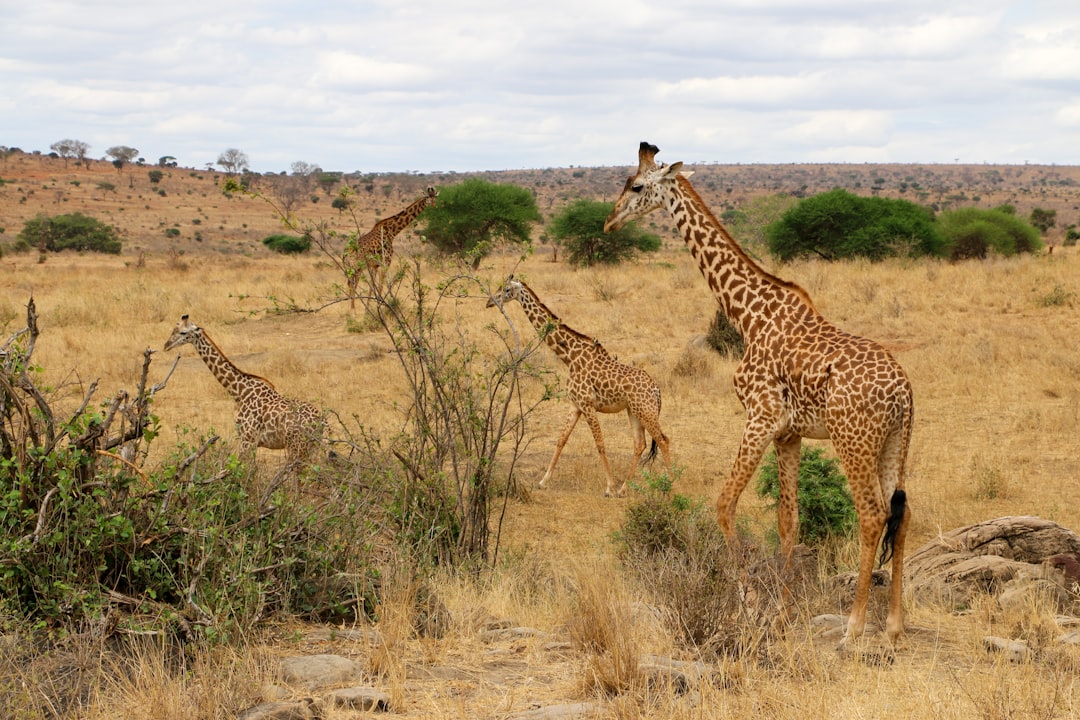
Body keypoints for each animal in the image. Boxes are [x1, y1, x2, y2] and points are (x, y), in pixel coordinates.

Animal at [164, 315, 324, 467]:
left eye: (183, 332)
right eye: (173, 329)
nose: (166, 345)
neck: (240, 392)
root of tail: (322, 421)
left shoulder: (247, 440)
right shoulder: (252, 442)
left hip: (297, 446)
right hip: (311, 446)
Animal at [487, 275, 672, 497]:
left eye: (506, 290)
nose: (490, 302)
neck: (569, 357)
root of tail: (657, 390)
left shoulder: (587, 405)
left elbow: (600, 444)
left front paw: (609, 487)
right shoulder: (575, 405)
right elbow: (561, 440)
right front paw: (543, 481)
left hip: (646, 411)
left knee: (663, 440)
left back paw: (671, 485)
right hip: (634, 411)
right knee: (640, 444)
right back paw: (624, 489)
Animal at [604, 142, 913, 645]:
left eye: (636, 186)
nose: (609, 223)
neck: (749, 315)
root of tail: (904, 393)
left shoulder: (760, 417)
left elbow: (724, 504)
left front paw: (748, 605)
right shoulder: (789, 433)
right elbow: (788, 521)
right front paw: (783, 615)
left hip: (854, 440)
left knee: (872, 515)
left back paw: (853, 627)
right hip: (893, 444)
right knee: (900, 515)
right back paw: (893, 625)